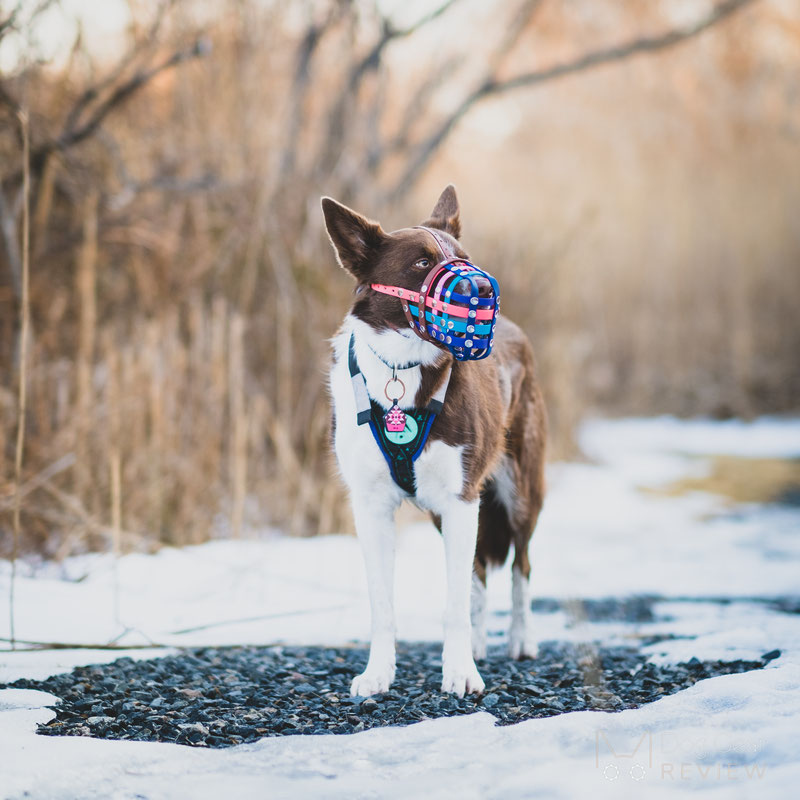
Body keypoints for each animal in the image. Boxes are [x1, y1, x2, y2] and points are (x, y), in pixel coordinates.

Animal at [322, 184, 548, 696]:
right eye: (422, 263)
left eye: (465, 260)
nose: (481, 289)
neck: (403, 371)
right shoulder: (372, 508)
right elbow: (384, 605)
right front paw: (378, 674)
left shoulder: (460, 497)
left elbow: (455, 604)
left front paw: (460, 673)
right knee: (480, 571)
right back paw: (481, 644)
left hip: (519, 491)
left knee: (521, 566)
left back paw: (521, 639)